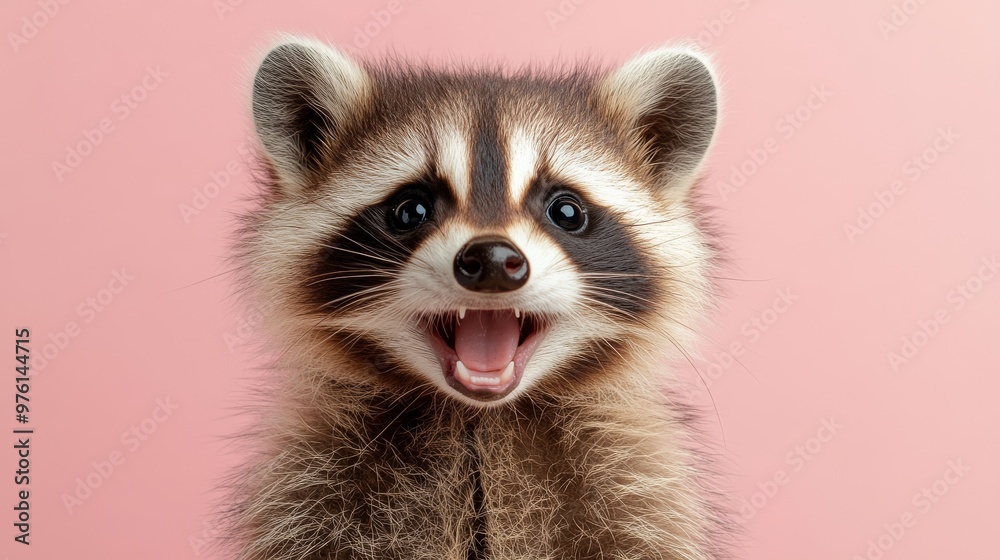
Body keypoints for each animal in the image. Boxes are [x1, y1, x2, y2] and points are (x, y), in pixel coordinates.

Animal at [226, 35, 729, 560]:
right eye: (411, 210)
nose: (491, 258)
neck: (478, 418)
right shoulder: (314, 489)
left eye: (566, 211)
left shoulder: (633, 490)